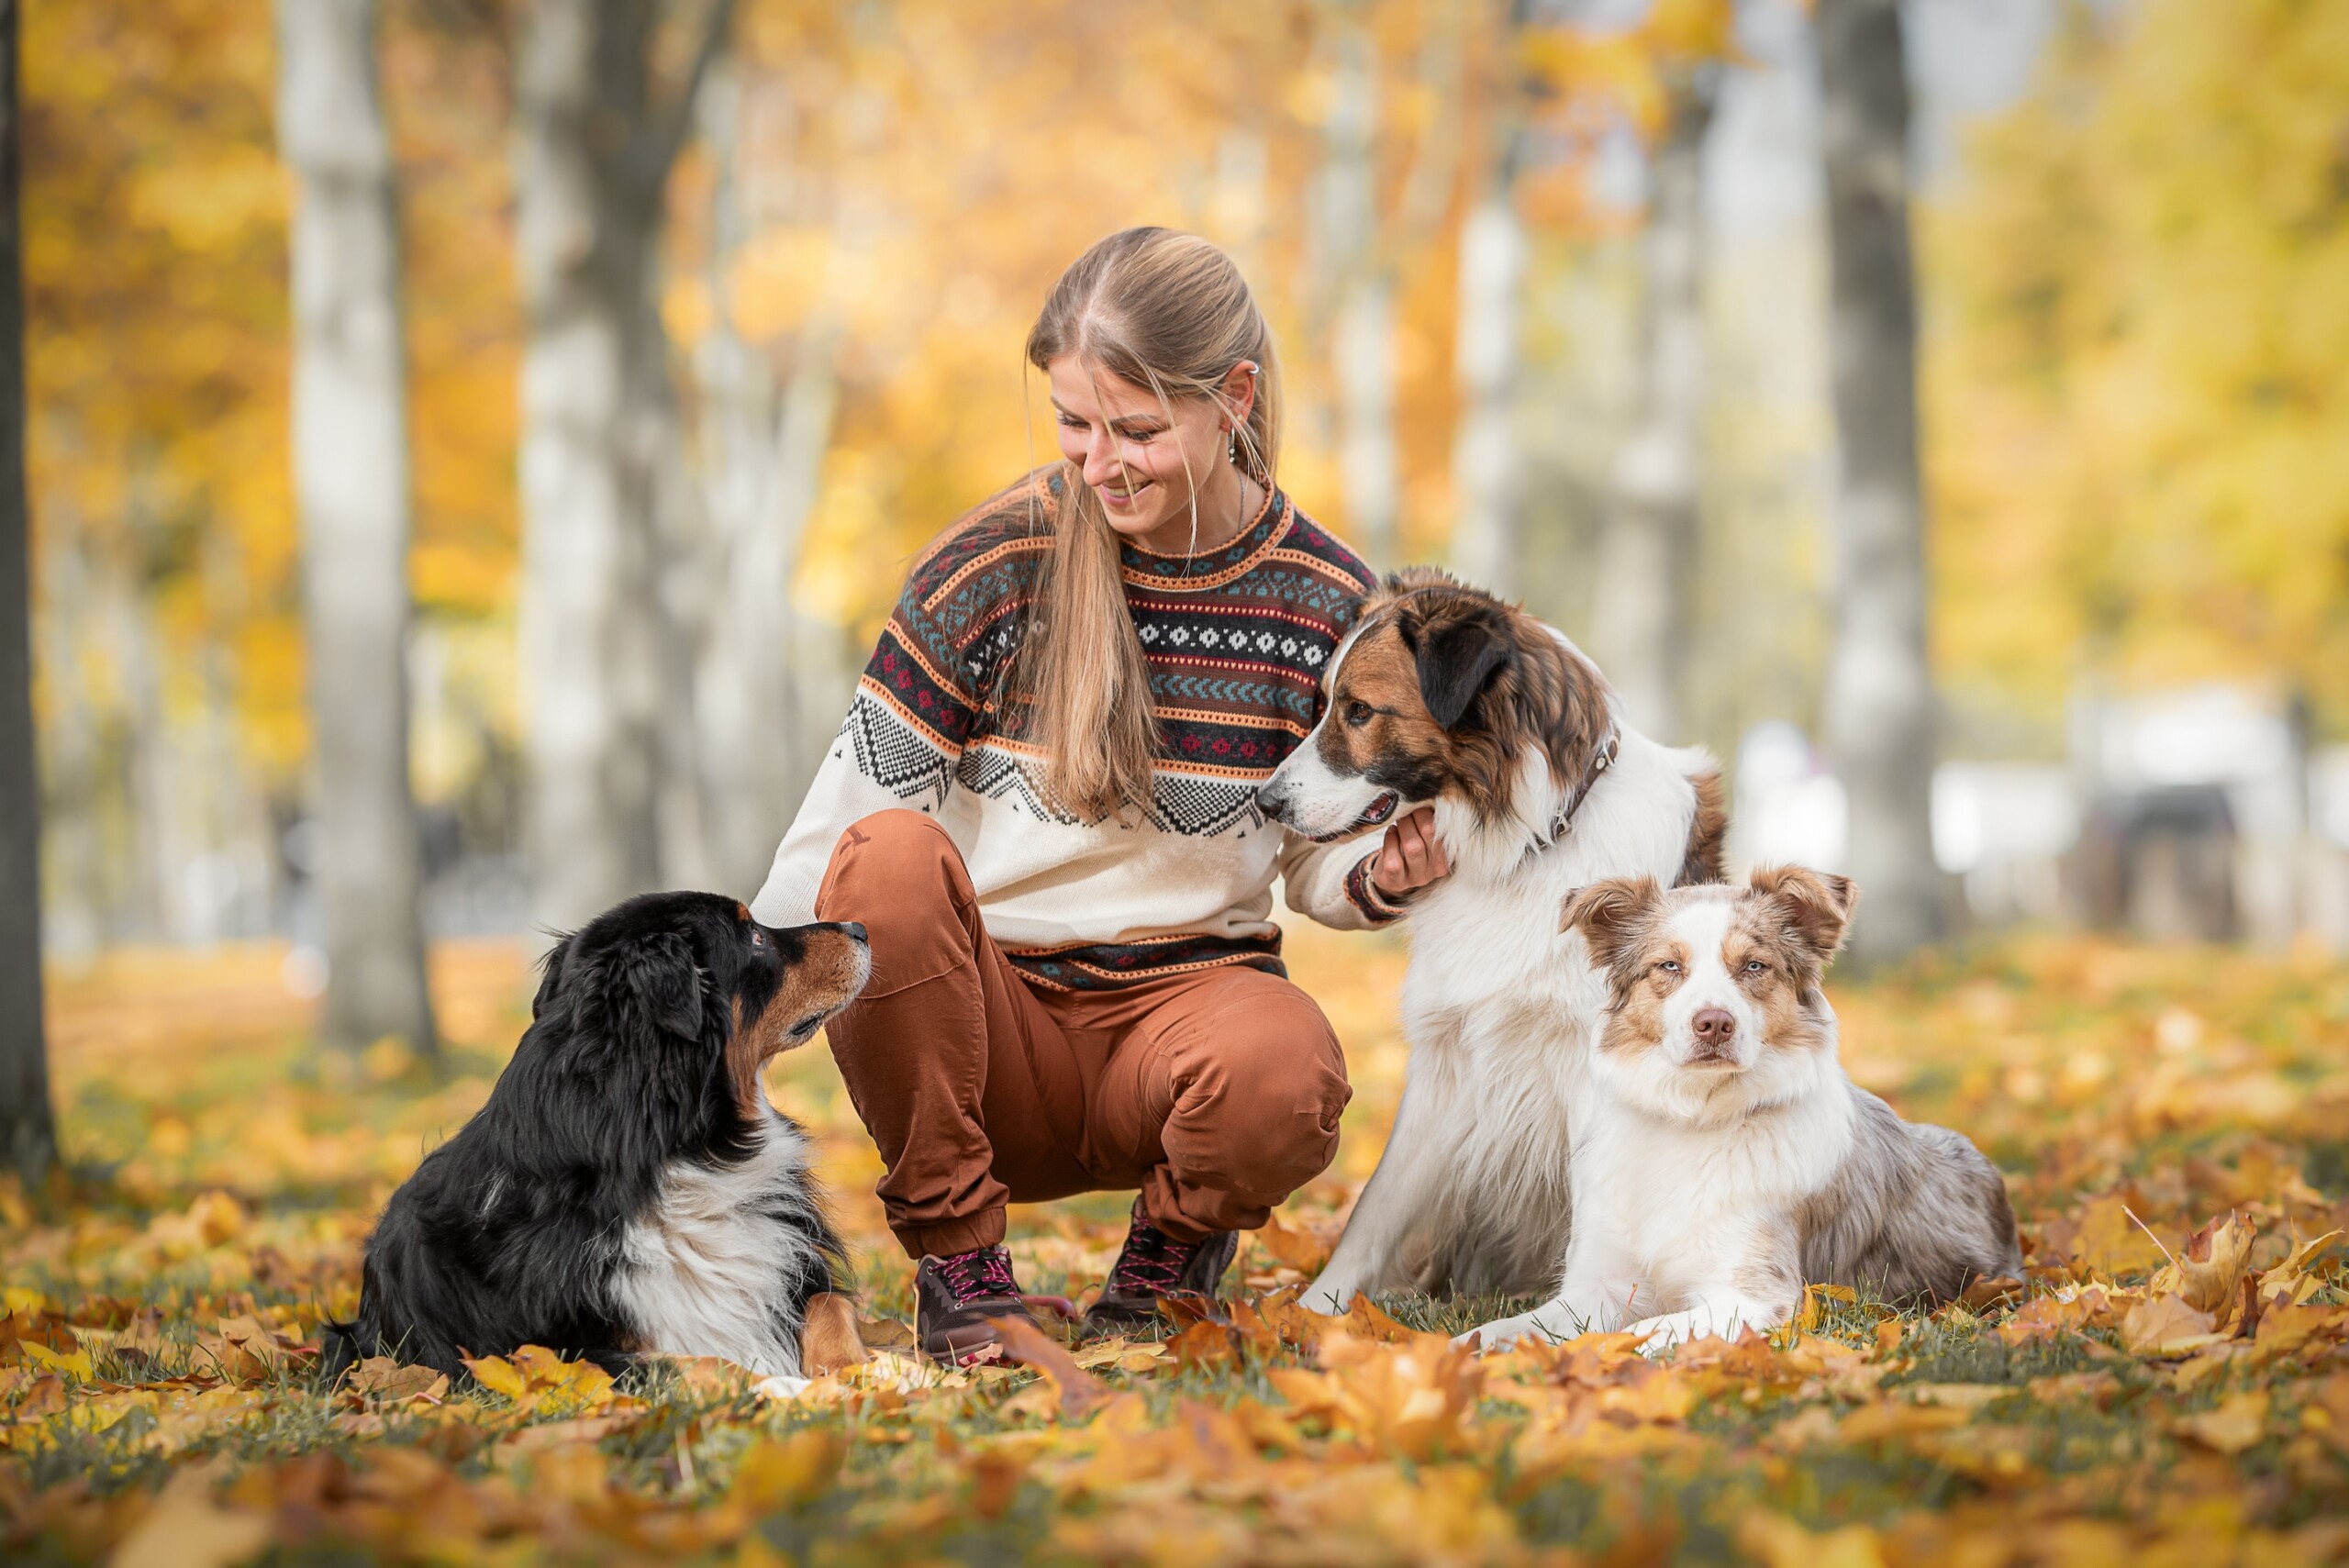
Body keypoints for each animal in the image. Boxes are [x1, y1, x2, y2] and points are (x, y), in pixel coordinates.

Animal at [321, 892, 874, 1380]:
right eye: (755, 938)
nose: (860, 928)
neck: (673, 1147)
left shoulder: (793, 1265)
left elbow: (831, 1305)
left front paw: (860, 1374)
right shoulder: (556, 1353)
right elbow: (699, 1365)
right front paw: (783, 1389)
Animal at [1268, 570, 1729, 1305]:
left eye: (1360, 710)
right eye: (1323, 705)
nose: (1266, 803)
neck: (1530, 842)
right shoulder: (1446, 1058)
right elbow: (1377, 1204)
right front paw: (1318, 1310)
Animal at [1465, 863, 2020, 1351]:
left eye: (1754, 966)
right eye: (1669, 966)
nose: (1714, 1023)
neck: (1693, 1120)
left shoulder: (1756, 1298)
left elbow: (1631, 1335)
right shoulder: (1598, 1286)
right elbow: (1503, 1329)